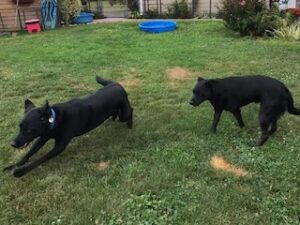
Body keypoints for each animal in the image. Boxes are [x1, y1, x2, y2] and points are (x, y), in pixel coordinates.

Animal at [3, 76, 132, 177]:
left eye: (29, 130)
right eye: (20, 127)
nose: (12, 144)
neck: (54, 120)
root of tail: (115, 84)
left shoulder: (59, 146)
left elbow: (40, 159)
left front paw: (20, 172)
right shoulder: (42, 138)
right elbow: (29, 153)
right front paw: (14, 165)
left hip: (124, 115)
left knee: (131, 111)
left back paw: (130, 125)